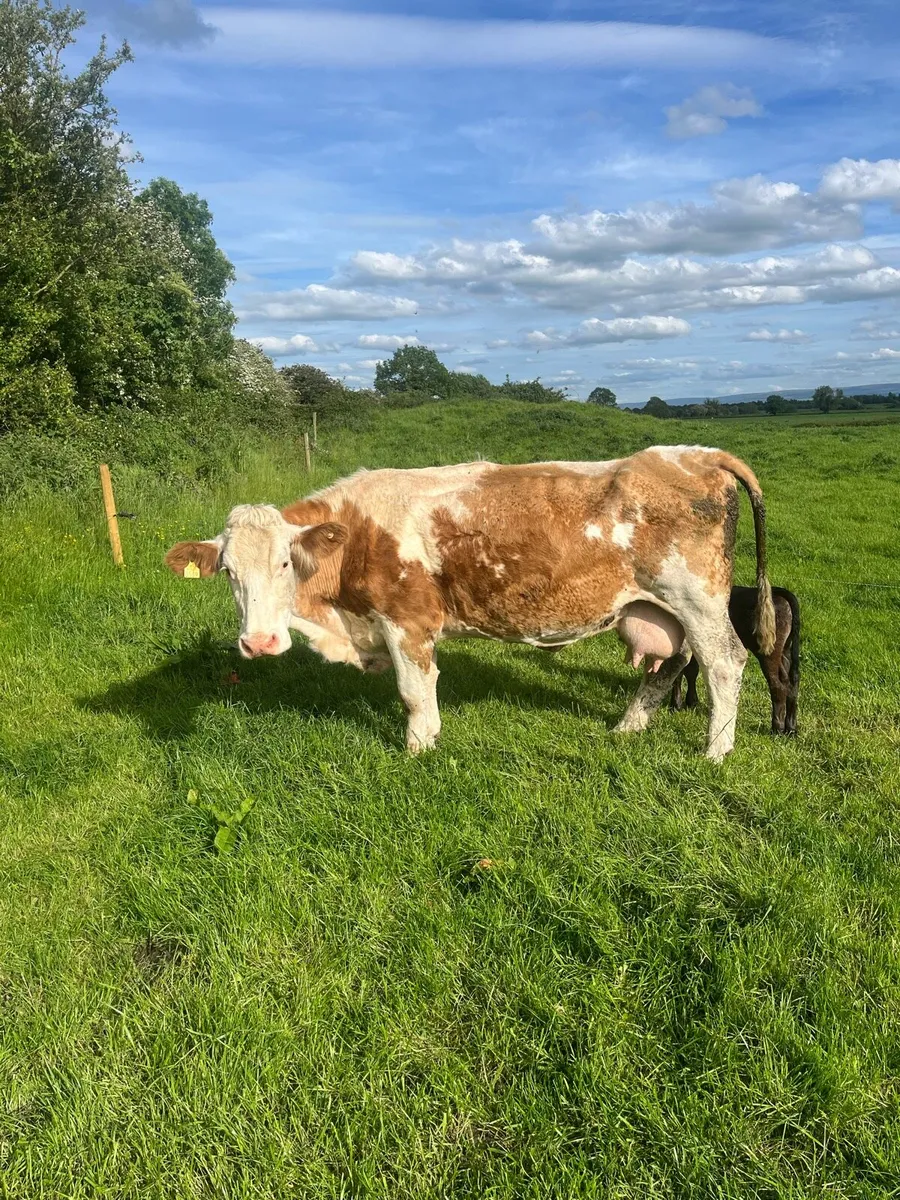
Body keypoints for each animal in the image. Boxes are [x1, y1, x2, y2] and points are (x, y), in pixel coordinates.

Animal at [165, 446, 775, 761]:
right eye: (228, 572)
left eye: (286, 563)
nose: (260, 642)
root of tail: (694, 453)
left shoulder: (407, 621)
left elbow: (414, 692)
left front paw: (417, 750)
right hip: (663, 609)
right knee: (672, 664)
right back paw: (628, 728)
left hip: (697, 598)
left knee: (724, 664)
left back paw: (716, 752)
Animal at [669, 585, 800, 735]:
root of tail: (779, 592)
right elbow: (691, 672)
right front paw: (691, 702)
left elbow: (678, 674)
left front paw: (675, 705)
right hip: (786, 651)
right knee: (792, 684)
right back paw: (791, 729)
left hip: (768, 651)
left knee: (778, 686)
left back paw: (777, 729)